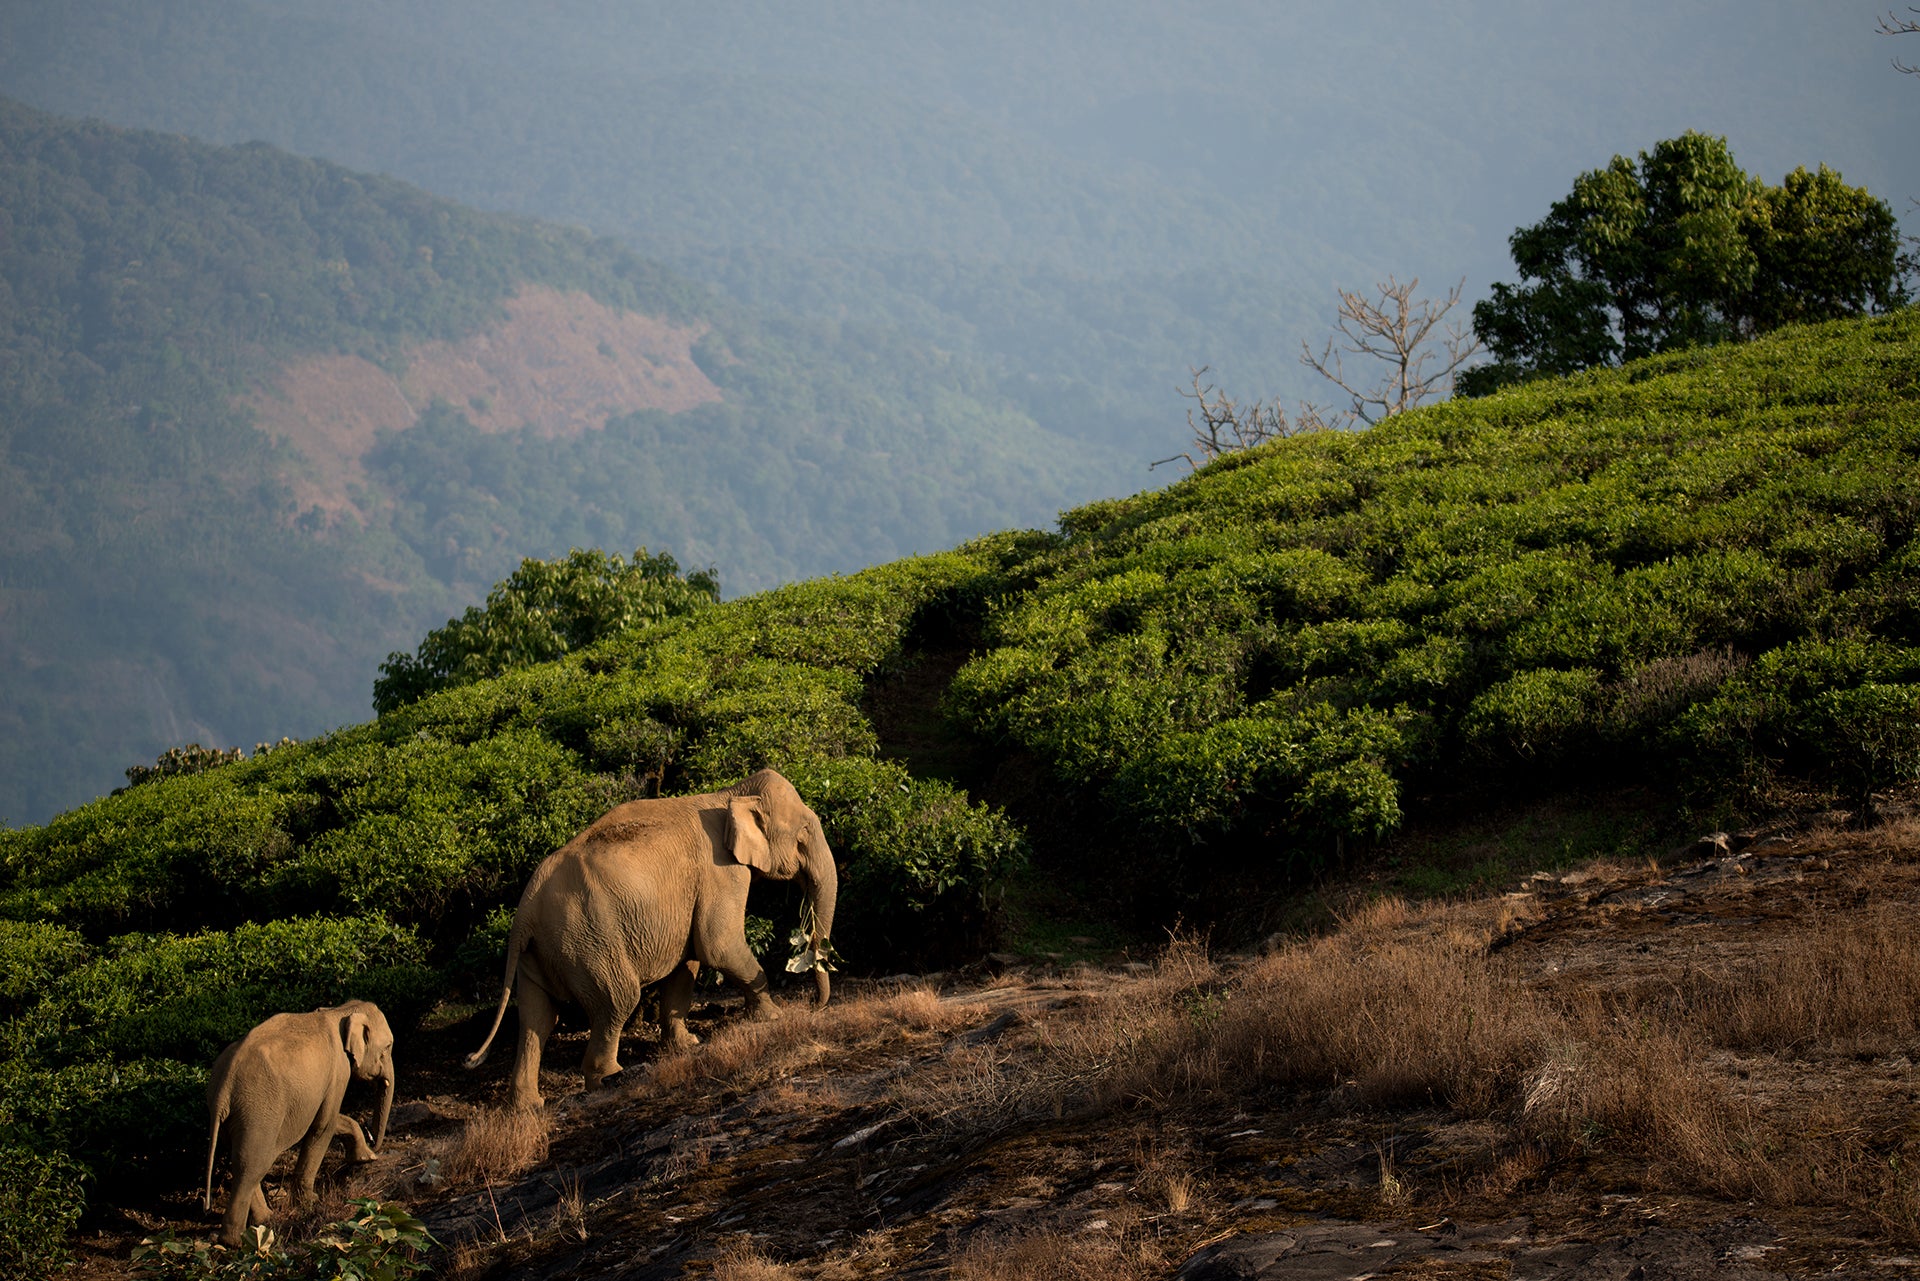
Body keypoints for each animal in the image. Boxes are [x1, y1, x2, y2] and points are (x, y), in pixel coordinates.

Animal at [203, 999, 396, 1246]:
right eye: (388, 1047)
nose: (375, 1146)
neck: (339, 1011)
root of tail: (222, 1089)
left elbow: (333, 1120)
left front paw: (364, 1159)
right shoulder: (338, 1072)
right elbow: (323, 1125)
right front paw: (310, 1201)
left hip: (235, 1117)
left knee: (242, 1161)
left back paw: (265, 1219)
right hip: (259, 1112)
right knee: (253, 1164)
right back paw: (235, 1241)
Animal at [465, 768, 838, 1110]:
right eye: (803, 834)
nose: (813, 1004)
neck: (731, 793)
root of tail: (525, 910)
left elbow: (687, 964)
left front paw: (688, 1045)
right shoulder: (720, 872)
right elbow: (717, 945)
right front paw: (775, 1016)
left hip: (539, 950)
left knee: (537, 1017)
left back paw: (527, 1106)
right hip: (586, 939)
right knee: (617, 999)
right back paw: (609, 1077)